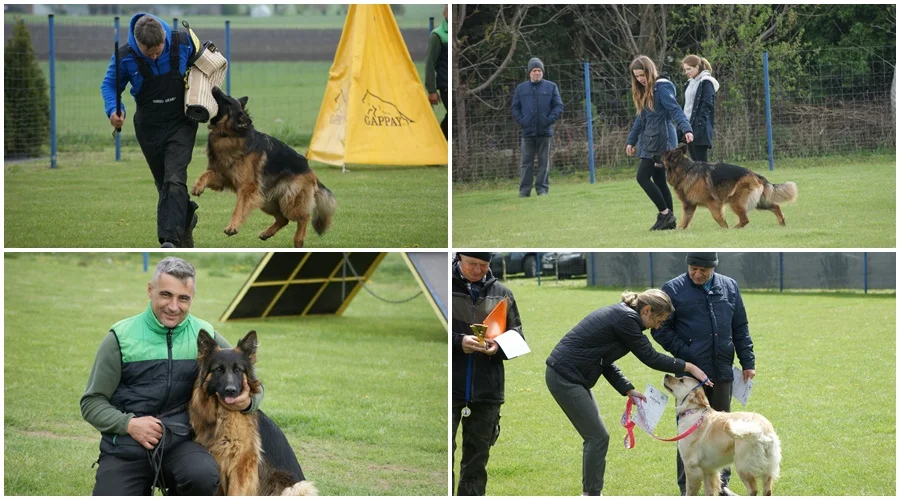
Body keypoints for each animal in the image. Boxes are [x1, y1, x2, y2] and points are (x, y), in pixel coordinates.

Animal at [188, 328, 318, 496]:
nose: (231, 391)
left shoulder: (242, 463)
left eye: (238, 370)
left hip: (295, 488)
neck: (222, 414)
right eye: (218, 369)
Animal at [192, 89, 336, 249]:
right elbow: (206, 174)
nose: (215, 88)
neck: (228, 135)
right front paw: (198, 186)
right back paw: (267, 233)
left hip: (289, 202)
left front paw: (232, 227)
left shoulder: (247, 188)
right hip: (267, 201)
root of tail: (310, 170)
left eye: (227, 101)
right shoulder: (223, 177)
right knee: (283, 219)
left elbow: (238, 208)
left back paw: (298, 240)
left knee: (304, 216)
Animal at [656, 144, 800, 229]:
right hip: (759, 202)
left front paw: (725, 229)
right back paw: (782, 223)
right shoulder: (689, 206)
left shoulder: (713, 203)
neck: (686, 170)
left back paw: (734, 229)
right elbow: (683, 222)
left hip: (735, 202)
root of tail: (755, 175)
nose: (651, 155)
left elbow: (718, 218)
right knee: (775, 207)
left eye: (660, 155)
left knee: (745, 219)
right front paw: (677, 232)